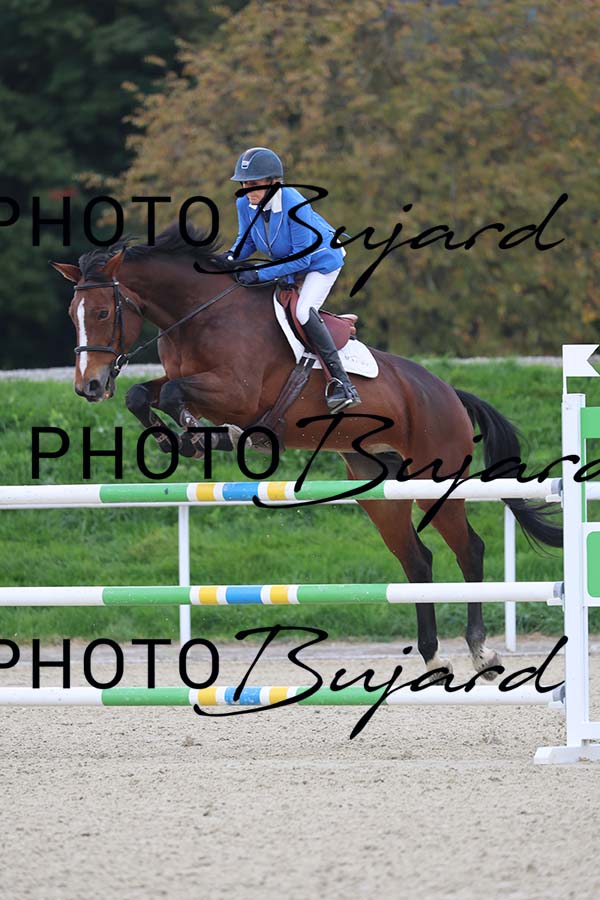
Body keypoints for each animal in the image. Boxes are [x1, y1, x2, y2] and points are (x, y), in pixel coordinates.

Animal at [51, 223, 562, 680]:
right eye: (73, 313)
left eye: (102, 312)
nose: (88, 386)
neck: (197, 315)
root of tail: (449, 393)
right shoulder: (185, 382)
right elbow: (142, 393)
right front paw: (178, 439)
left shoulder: (236, 392)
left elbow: (176, 394)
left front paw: (205, 436)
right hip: (379, 490)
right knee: (417, 560)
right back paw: (434, 659)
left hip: (434, 479)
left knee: (469, 550)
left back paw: (482, 654)